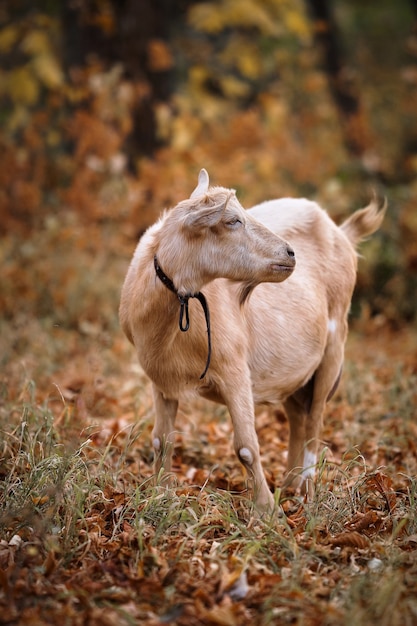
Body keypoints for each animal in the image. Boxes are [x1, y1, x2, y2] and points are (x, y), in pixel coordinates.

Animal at [118, 168, 386, 510]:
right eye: (233, 221)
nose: (290, 253)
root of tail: (342, 232)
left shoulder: (234, 370)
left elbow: (246, 447)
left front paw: (266, 510)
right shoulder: (161, 379)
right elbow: (161, 440)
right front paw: (159, 497)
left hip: (334, 348)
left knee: (314, 424)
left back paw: (307, 493)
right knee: (298, 419)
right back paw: (290, 486)